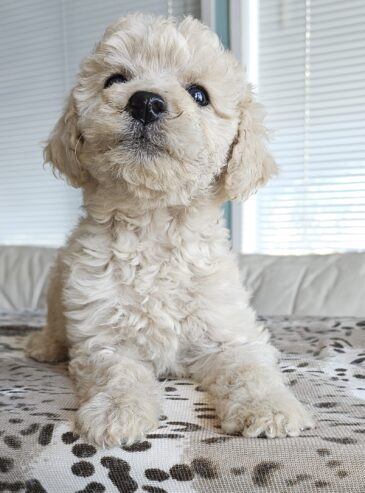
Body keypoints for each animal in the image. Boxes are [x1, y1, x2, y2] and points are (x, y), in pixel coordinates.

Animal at [27, 14, 314, 446]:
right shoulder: (102, 338)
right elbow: (117, 372)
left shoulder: (227, 331)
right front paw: (117, 412)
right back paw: (43, 345)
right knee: (56, 326)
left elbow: (248, 367)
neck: (154, 224)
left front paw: (270, 407)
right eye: (115, 79)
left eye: (199, 94)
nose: (145, 101)